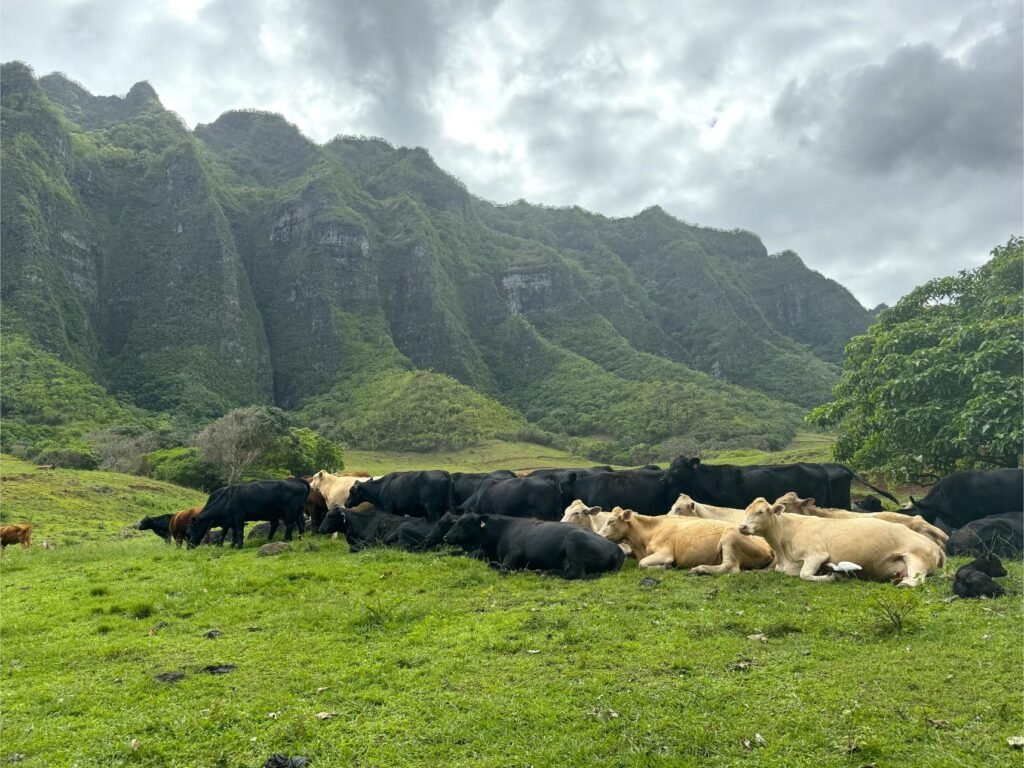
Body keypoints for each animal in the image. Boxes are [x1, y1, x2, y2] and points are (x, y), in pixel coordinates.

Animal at [446, 514, 626, 581]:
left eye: (464, 523)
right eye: (456, 521)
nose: (446, 536)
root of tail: (617, 549)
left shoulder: (514, 552)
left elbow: (502, 568)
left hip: (573, 541)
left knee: (576, 573)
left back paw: (543, 572)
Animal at [598, 507, 770, 573]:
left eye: (611, 521)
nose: (598, 535)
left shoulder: (665, 553)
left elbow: (642, 564)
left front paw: (666, 566)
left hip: (729, 537)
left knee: (730, 567)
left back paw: (700, 569)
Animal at [737, 499, 942, 589]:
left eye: (761, 512)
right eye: (746, 510)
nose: (742, 527)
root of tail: (935, 546)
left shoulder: (817, 554)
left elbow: (805, 575)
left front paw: (832, 576)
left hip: (917, 560)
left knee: (917, 580)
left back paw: (903, 584)